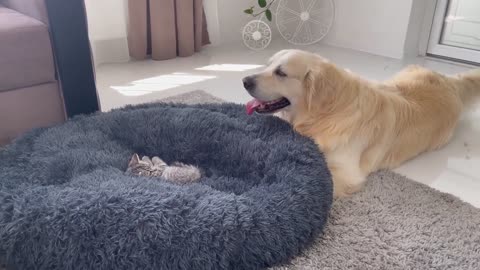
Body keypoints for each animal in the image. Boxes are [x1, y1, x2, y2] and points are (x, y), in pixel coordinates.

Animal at [244, 49, 480, 196]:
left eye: (281, 73)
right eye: (268, 65)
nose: (245, 80)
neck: (327, 114)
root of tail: (449, 81)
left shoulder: (346, 172)